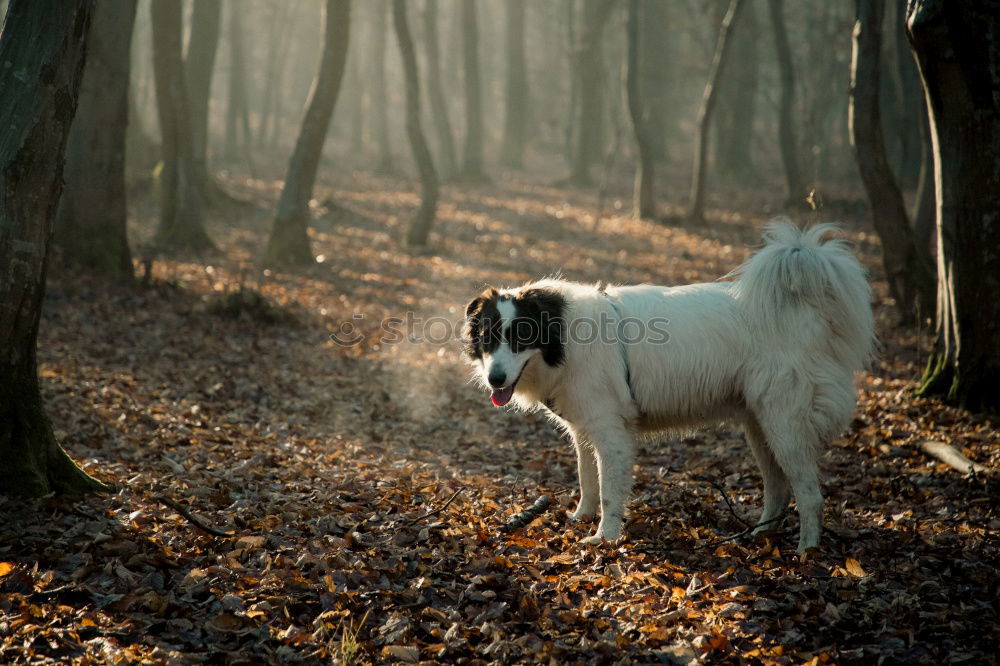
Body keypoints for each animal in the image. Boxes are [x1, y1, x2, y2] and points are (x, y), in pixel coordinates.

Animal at [462, 220, 876, 552]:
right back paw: (761, 534)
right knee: (778, 488)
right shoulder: (584, 430)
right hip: (761, 427)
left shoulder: (612, 434)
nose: (495, 379)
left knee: (809, 495)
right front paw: (581, 517)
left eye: (521, 337)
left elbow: (609, 491)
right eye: (488, 339)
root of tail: (805, 313)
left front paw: (604, 537)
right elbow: (586, 479)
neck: (565, 337)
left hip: (785, 426)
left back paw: (807, 549)